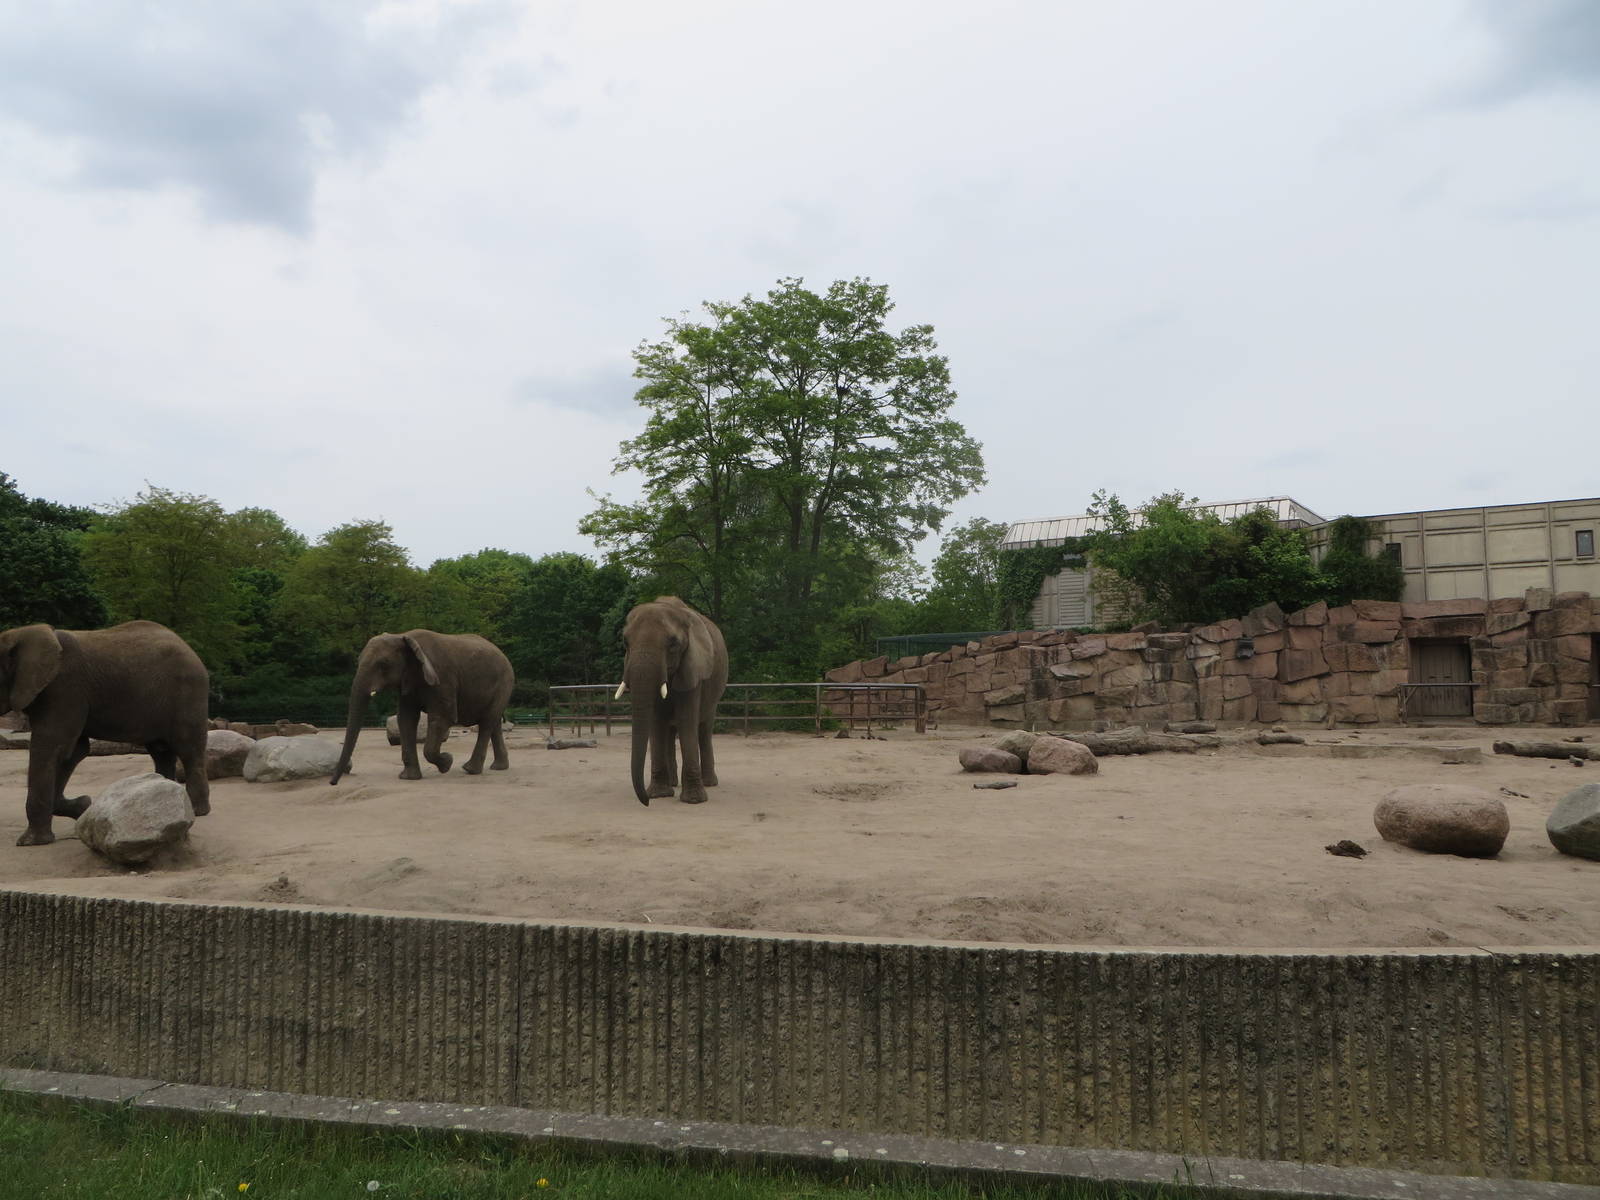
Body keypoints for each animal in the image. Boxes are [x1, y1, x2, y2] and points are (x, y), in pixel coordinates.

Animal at [0, 620, 211, 846]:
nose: (84, 800)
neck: (19, 633)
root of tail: (189, 648)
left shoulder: (64, 688)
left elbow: (53, 745)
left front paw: (31, 842)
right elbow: (74, 751)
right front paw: (82, 805)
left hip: (189, 694)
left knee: (188, 750)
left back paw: (197, 811)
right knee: (161, 752)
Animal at [331, 630, 514, 785]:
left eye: (383, 664)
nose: (333, 783)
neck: (403, 636)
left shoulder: (442, 677)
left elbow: (441, 718)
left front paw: (447, 762)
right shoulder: (408, 682)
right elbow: (406, 719)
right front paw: (409, 778)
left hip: (504, 683)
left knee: (487, 722)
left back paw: (470, 769)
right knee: (493, 723)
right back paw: (498, 767)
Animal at [617, 596, 728, 806]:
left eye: (673, 643)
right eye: (625, 642)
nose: (646, 802)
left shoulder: (693, 668)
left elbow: (687, 720)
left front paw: (694, 800)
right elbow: (656, 723)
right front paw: (658, 795)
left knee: (703, 729)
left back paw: (709, 783)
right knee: (668, 731)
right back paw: (673, 783)